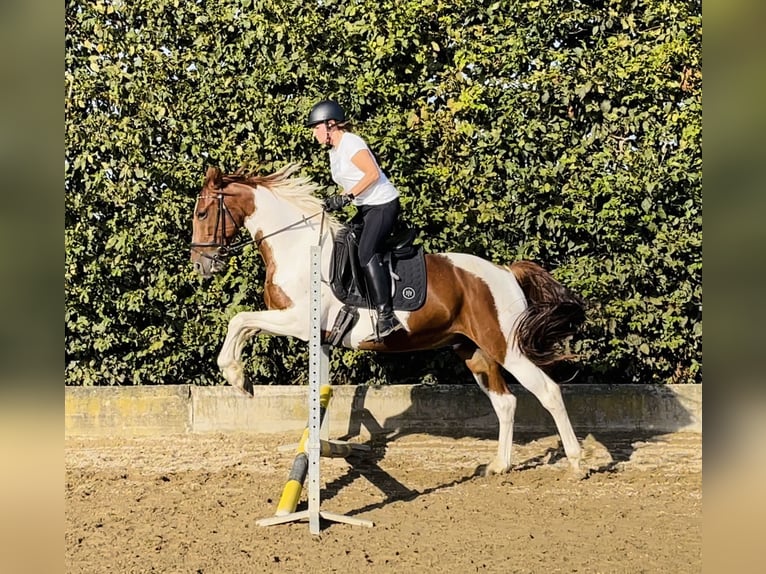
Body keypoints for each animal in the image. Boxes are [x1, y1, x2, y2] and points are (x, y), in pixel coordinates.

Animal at [190, 163, 588, 476]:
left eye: (202, 214)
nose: (200, 265)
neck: (297, 248)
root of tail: (506, 273)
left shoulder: (297, 321)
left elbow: (240, 319)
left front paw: (237, 377)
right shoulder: (307, 330)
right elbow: (251, 331)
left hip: (505, 347)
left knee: (548, 391)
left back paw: (577, 462)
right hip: (473, 349)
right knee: (506, 402)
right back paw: (499, 465)